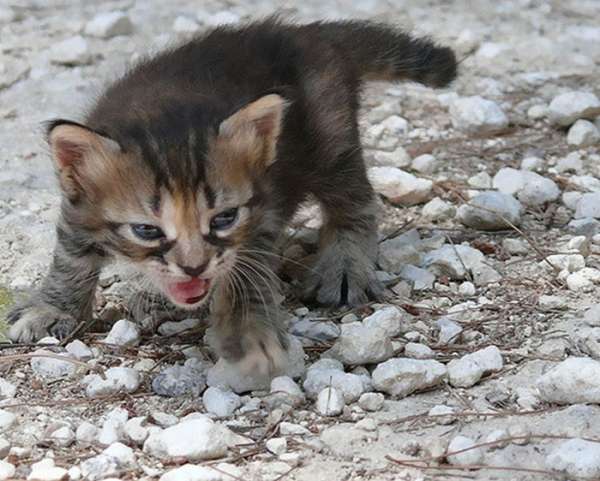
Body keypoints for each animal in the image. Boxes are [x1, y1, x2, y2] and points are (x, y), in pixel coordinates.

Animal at [7, 17, 454, 372]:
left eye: (223, 218)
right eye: (147, 230)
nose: (193, 268)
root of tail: (304, 31)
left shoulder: (261, 217)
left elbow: (246, 279)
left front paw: (247, 335)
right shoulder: (78, 207)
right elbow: (70, 258)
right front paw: (52, 307)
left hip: (332, 141)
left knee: (354, 201)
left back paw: (344, 266)